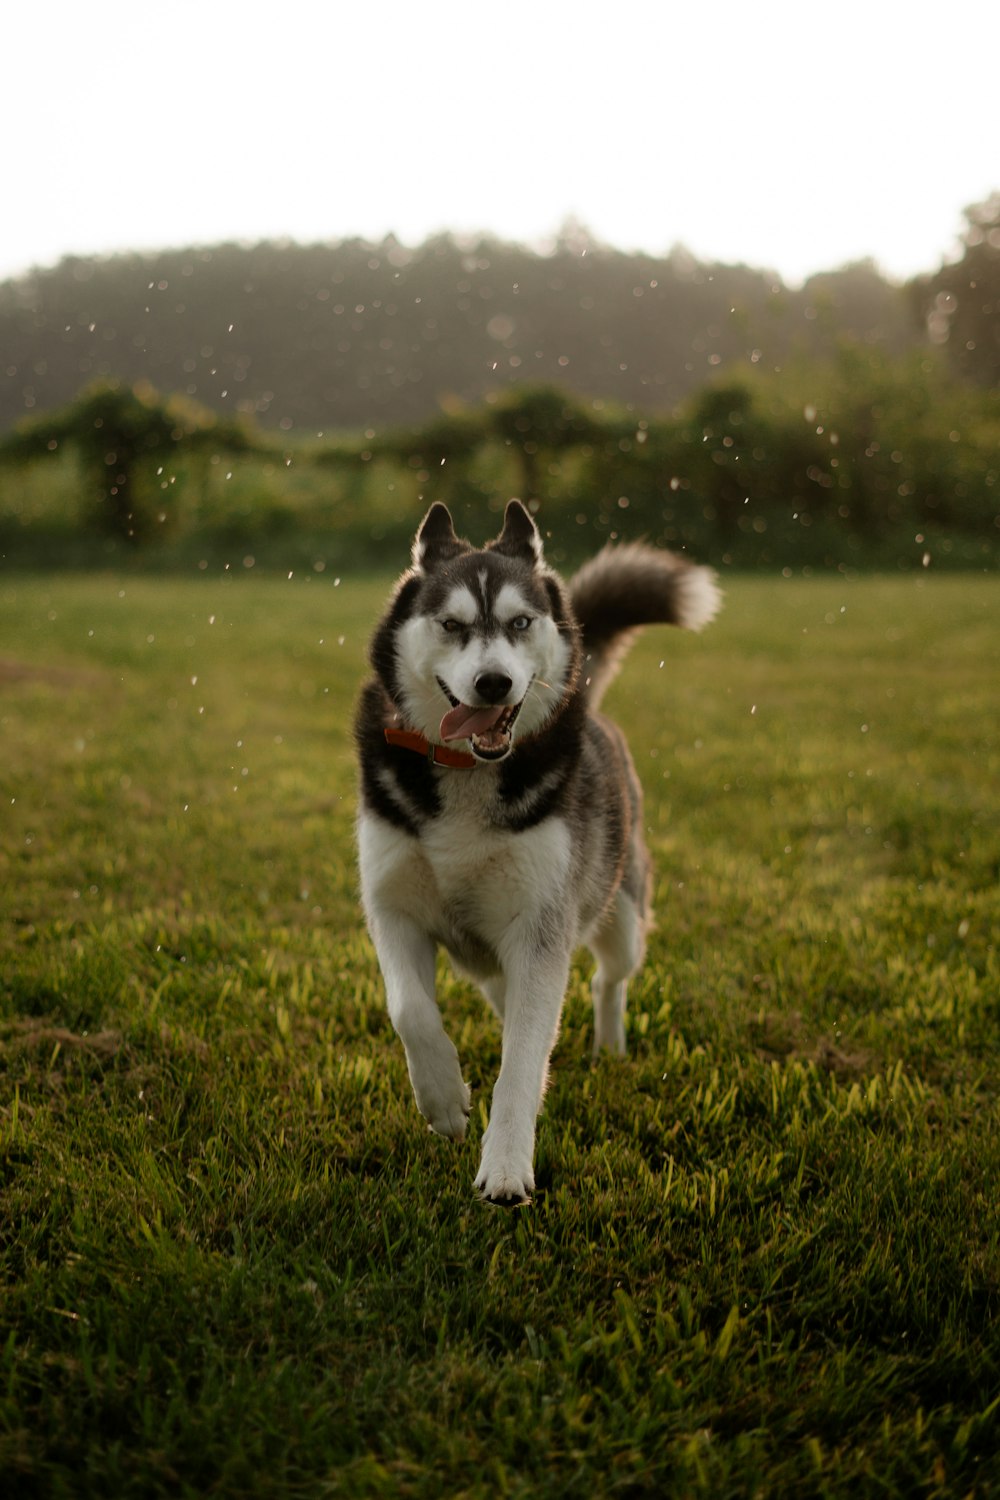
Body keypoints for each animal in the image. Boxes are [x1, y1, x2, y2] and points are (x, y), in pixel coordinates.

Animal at [355, 504, 716, 1206]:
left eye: (521, 622)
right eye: (452, 625)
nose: (493, 683)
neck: (467, 773)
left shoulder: (542, 930)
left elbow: (524, 1060)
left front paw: (505, 1167)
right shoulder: (392, 906)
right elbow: (409, 1010)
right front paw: (444, 1101)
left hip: (621, 912)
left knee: (608, 977)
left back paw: (609, 1046)